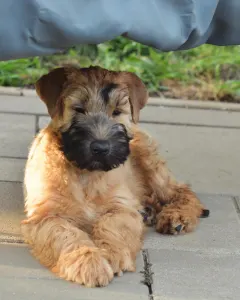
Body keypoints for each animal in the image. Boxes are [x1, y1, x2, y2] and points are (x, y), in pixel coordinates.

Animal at [21, 67, 209, 288]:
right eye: (78, 109)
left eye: (117, 112)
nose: (101, 148)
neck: (87, 174)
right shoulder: (45, 215)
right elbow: (66, 234)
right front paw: (88, 262)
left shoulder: (121, 206)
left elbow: (111, 225)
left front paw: (112, 255)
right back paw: (150, 211)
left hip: (150, 161)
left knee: (182, 191)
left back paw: (176, 216)